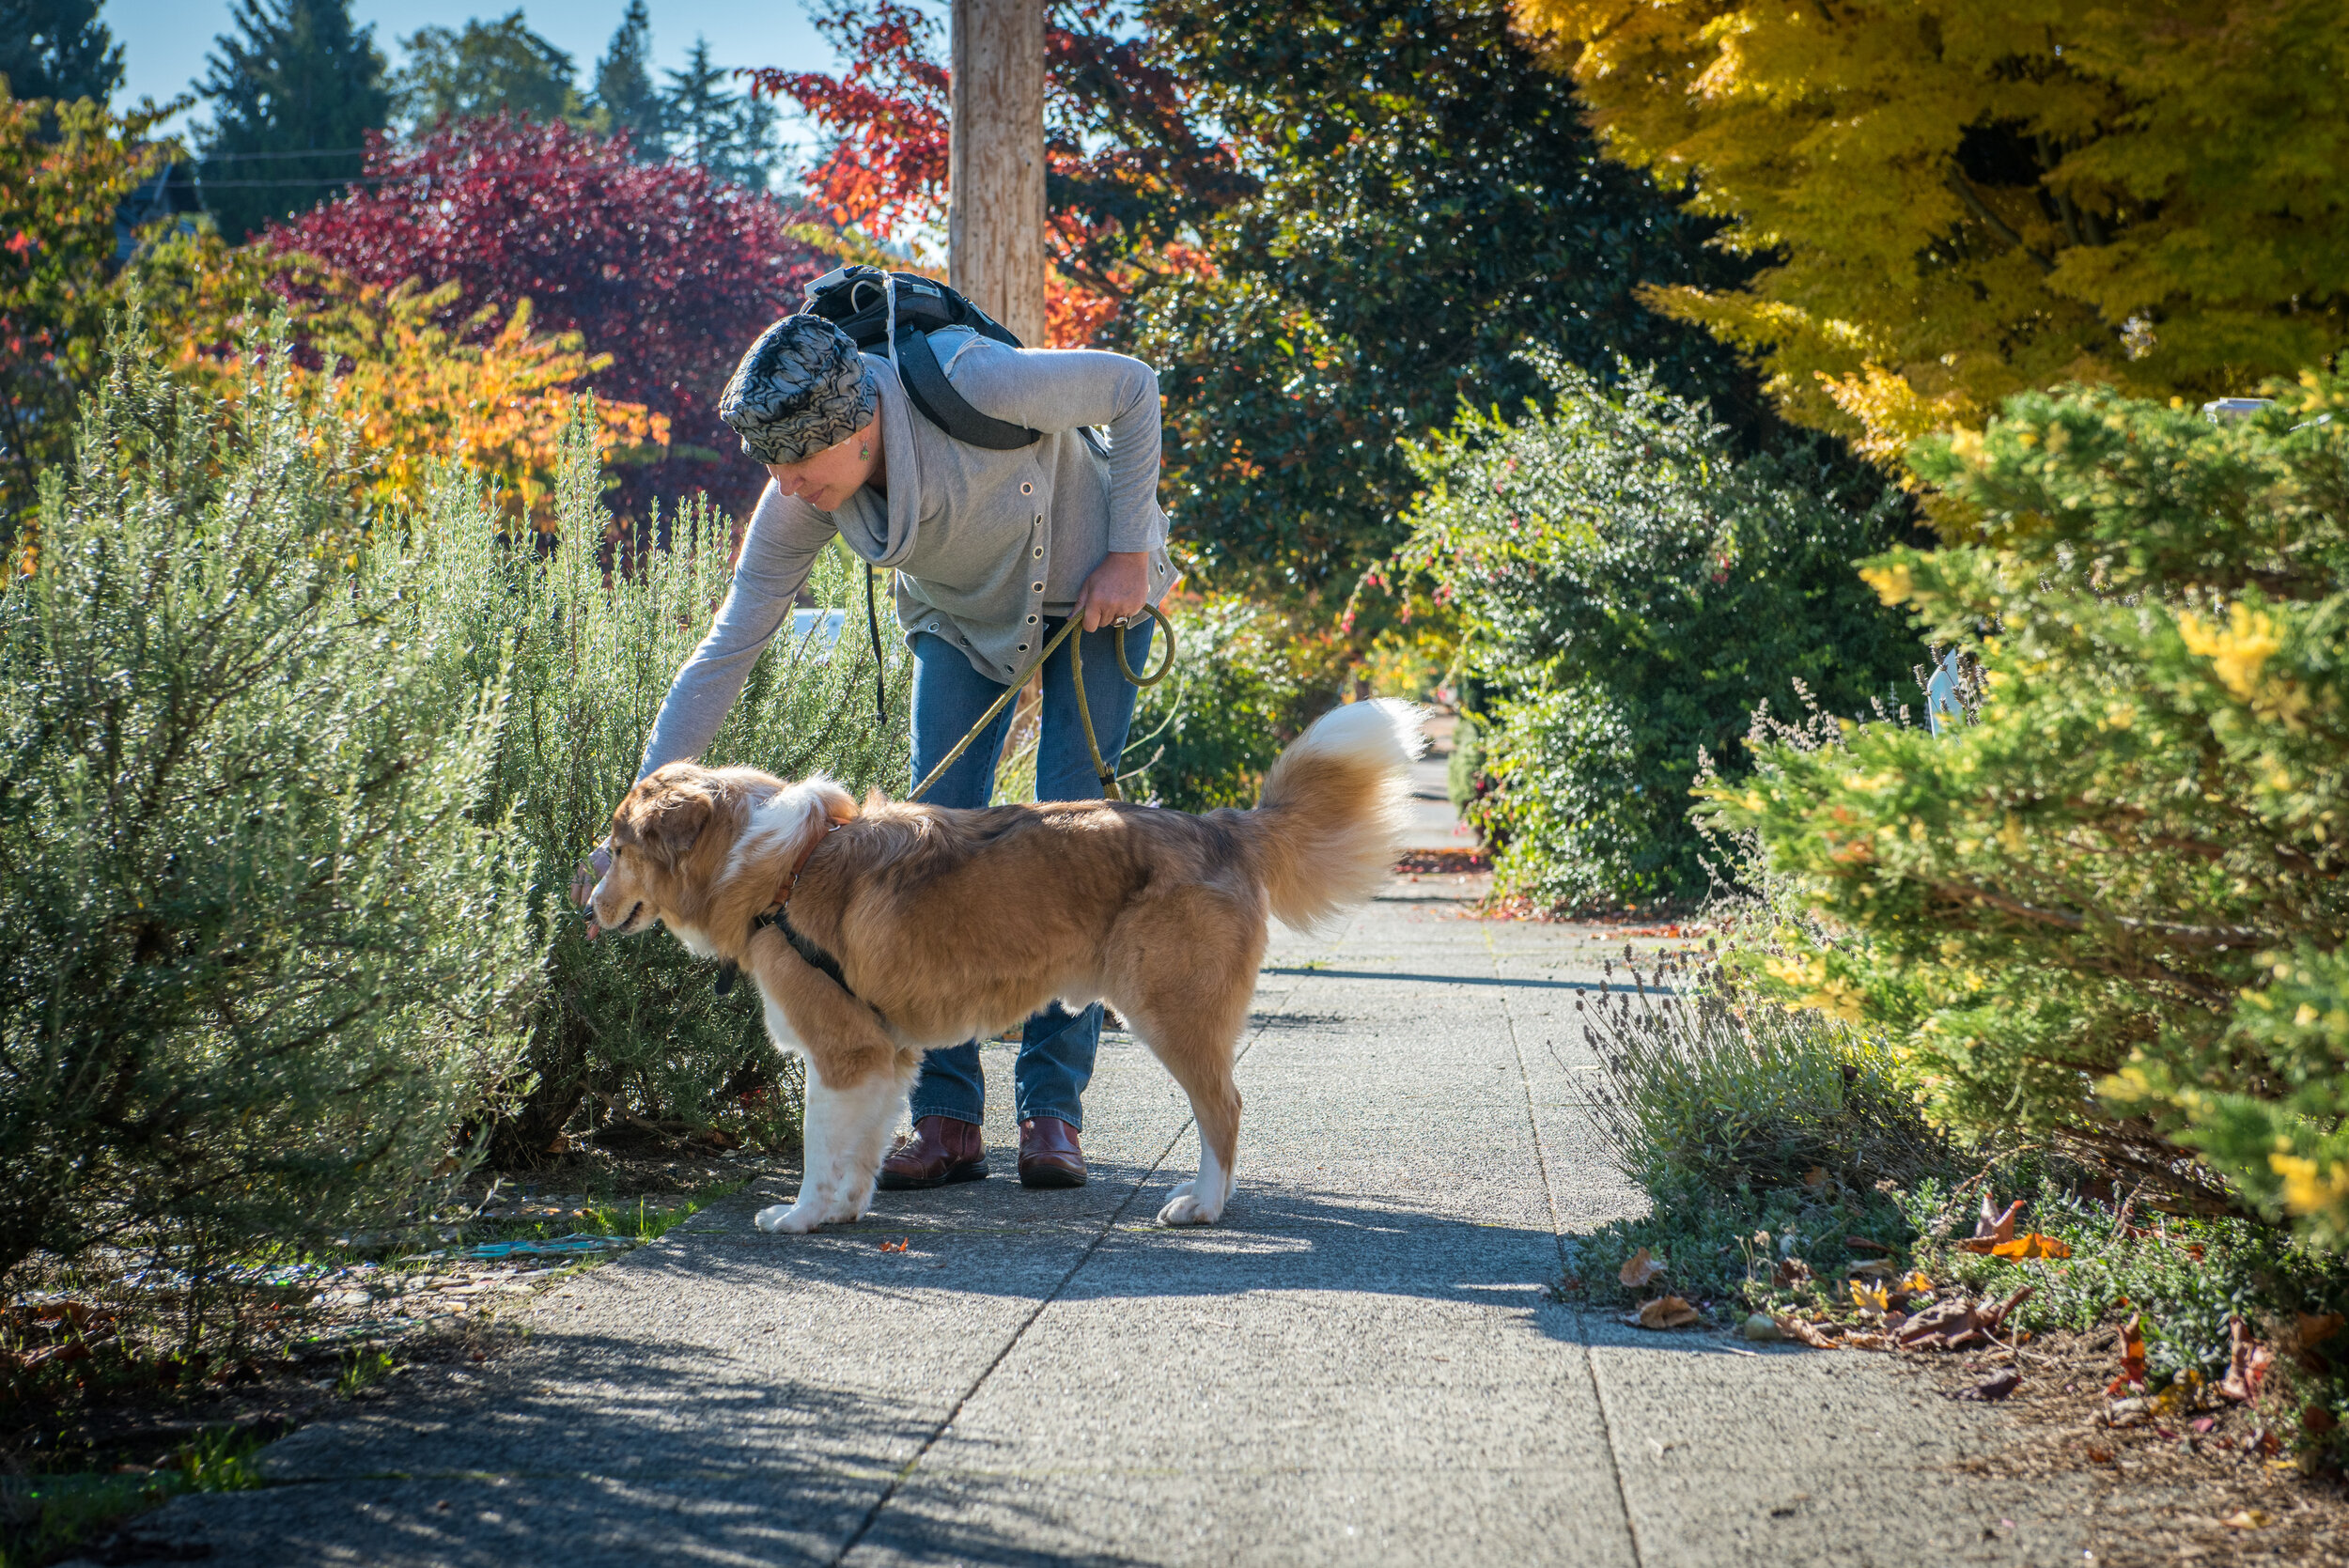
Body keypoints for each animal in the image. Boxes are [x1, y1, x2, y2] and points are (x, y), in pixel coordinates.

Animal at [587, 699, 1428, 1239]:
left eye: (619, 849)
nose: (586, 906)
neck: (776, 865)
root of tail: (1222, 824)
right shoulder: (883, 1056)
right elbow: (859, 1152)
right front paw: (846, 1211)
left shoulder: (841, 1052)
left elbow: (818, 1151)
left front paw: (801, 1216)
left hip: (1170, 1011)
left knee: (1224, 1108)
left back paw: (1203, 1204)